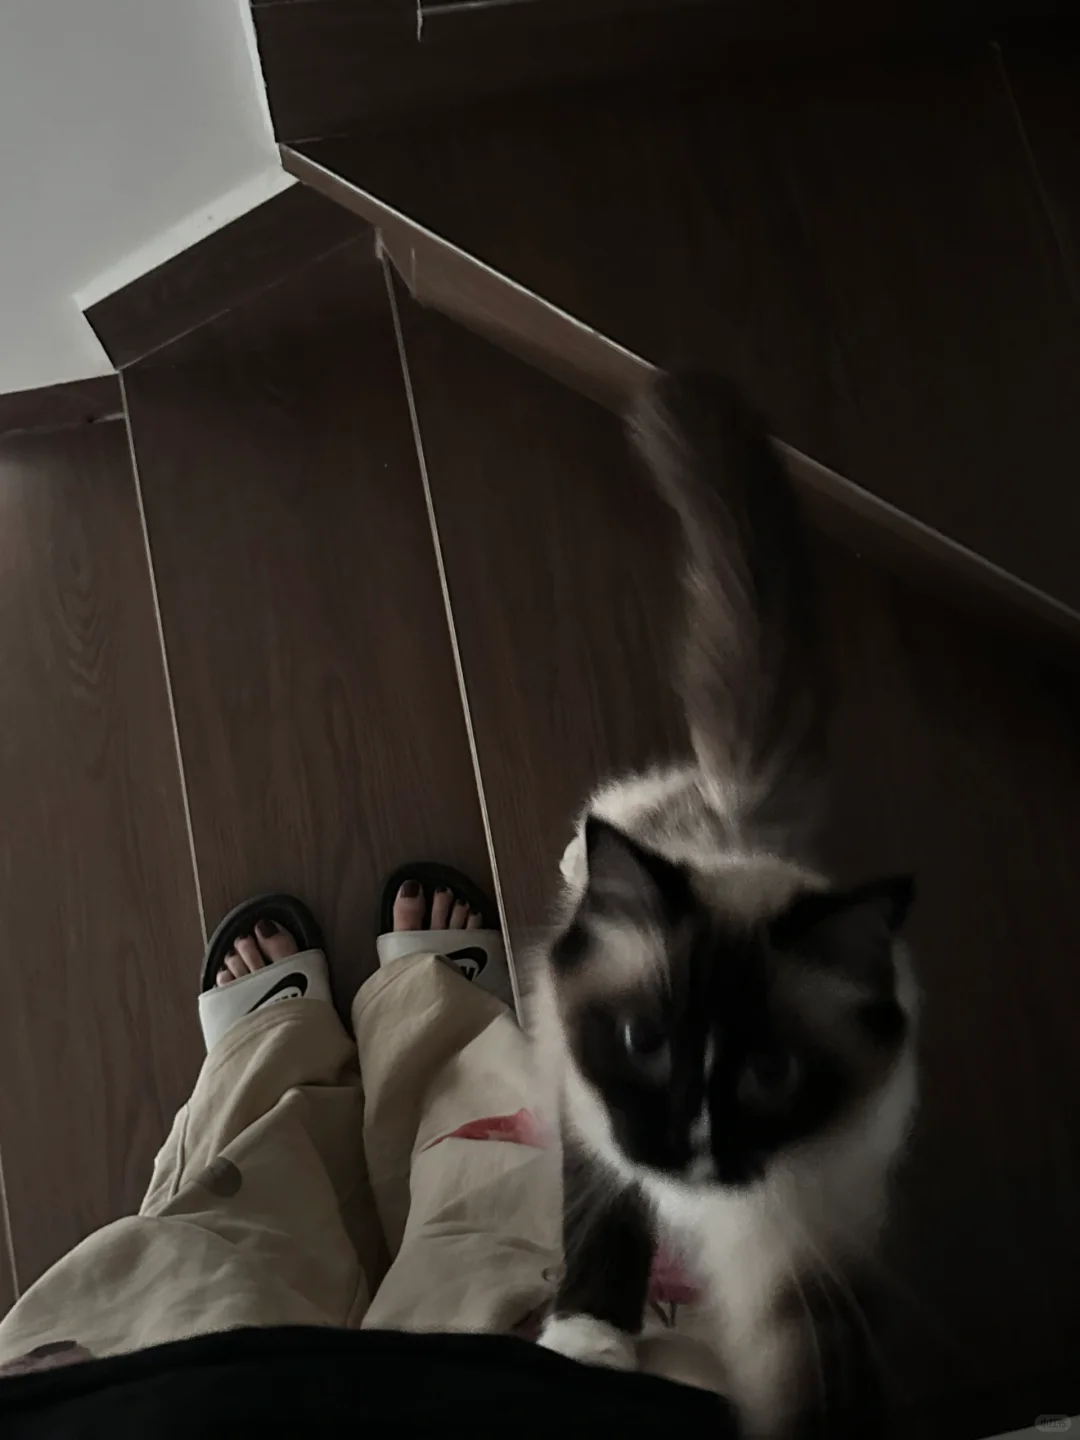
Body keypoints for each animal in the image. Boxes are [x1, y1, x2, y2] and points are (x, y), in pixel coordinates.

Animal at [530, 372, 918, 1438]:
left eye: (771, 1074)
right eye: (644, 1044)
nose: (688, 1148)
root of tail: (743, 824)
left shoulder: (809, 1251)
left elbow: (818, 1384)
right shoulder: (591, 1117)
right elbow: (604, 1223)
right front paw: (588, 1343)